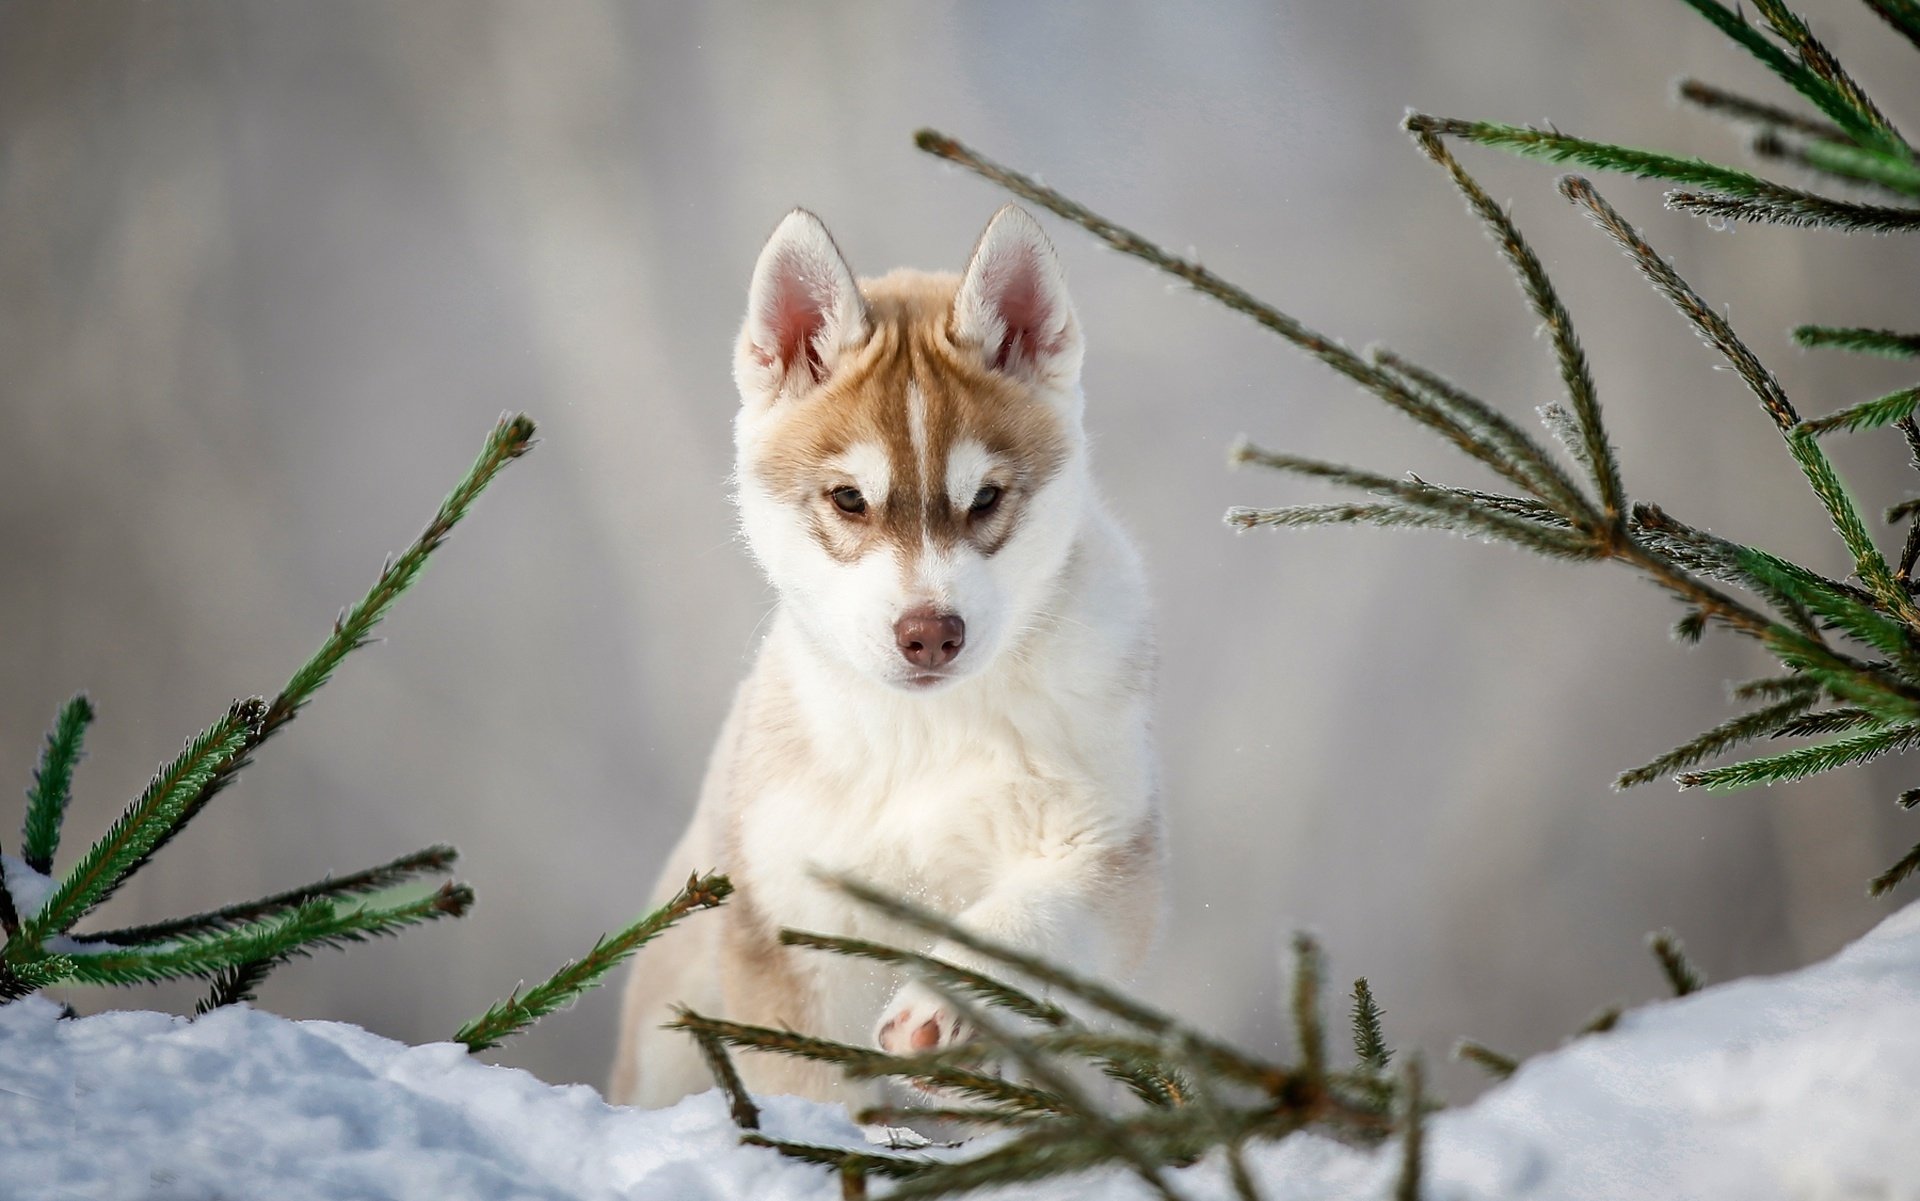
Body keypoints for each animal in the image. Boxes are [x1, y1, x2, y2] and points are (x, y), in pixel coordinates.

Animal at [606, 203, 1159, 1105]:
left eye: (986, 499)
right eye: (848, 499)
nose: (930, 631)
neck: (923, 735)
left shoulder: (1104, 850)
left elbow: (1028, 920)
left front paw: (941, 1005)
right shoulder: (792, 924)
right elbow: (807, 1080)